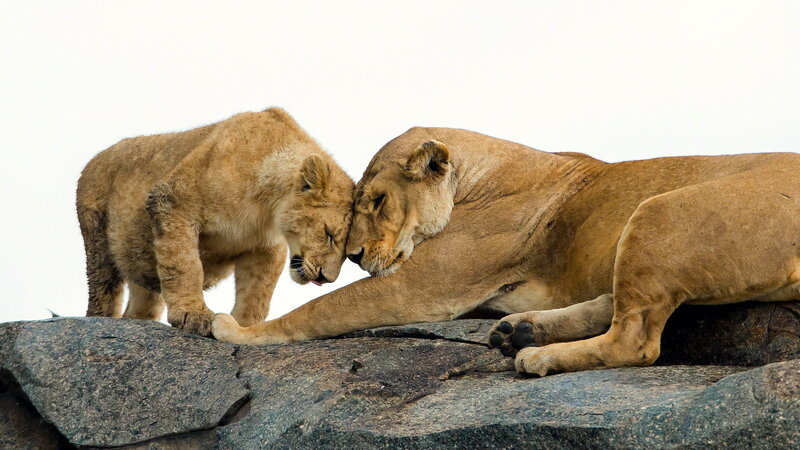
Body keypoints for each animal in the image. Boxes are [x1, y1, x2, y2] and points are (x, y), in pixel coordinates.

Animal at [77, 108, 354, 336]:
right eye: (329, 234)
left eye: (347, 254)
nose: (326, 278)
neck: (265, 205)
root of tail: (95, 158)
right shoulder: (173, 202)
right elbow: (184, 265)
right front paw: (193, 316)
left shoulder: (265, 246)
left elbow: (256, 295)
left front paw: (241, 329)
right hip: (97, 237)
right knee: (104, 292)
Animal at [212, 126, 800, 376]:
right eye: (355, 203)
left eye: (377, 200)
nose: (354, 255)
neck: (481, 174)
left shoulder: (423, 287)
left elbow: (322, 308)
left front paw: (239, 332)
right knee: (619, 306)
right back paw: (522, 330)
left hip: (659, 209)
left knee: (636, 343)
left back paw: (534, 354)